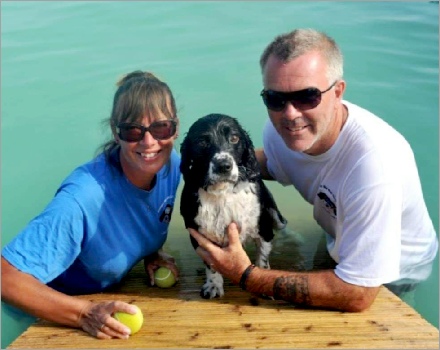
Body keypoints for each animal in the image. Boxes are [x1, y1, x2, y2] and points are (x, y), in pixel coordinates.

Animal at [180, 113, 288, 298]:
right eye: (201, 142)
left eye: (234, 138)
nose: (223, 166)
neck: (223, 193)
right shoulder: (199, 237)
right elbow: (212, 264)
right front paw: (213, 285)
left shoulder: (264, 230)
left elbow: (263, 256)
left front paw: (263, 282)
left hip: (277, 218)